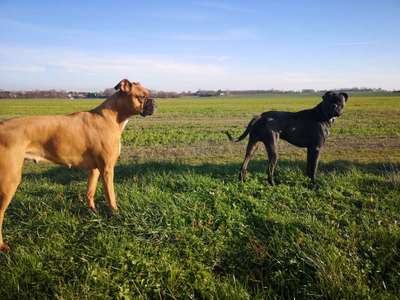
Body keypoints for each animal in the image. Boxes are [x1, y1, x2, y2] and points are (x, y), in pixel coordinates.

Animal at [0, 78, 155, 251]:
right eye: (141, 97)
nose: (153, 102)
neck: (111, 116)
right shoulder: (107, 170)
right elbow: (111, 196)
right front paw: (115, 213)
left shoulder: (95, 169)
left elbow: (90, 192)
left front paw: (93, 213)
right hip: (9, 181)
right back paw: (2, 246)